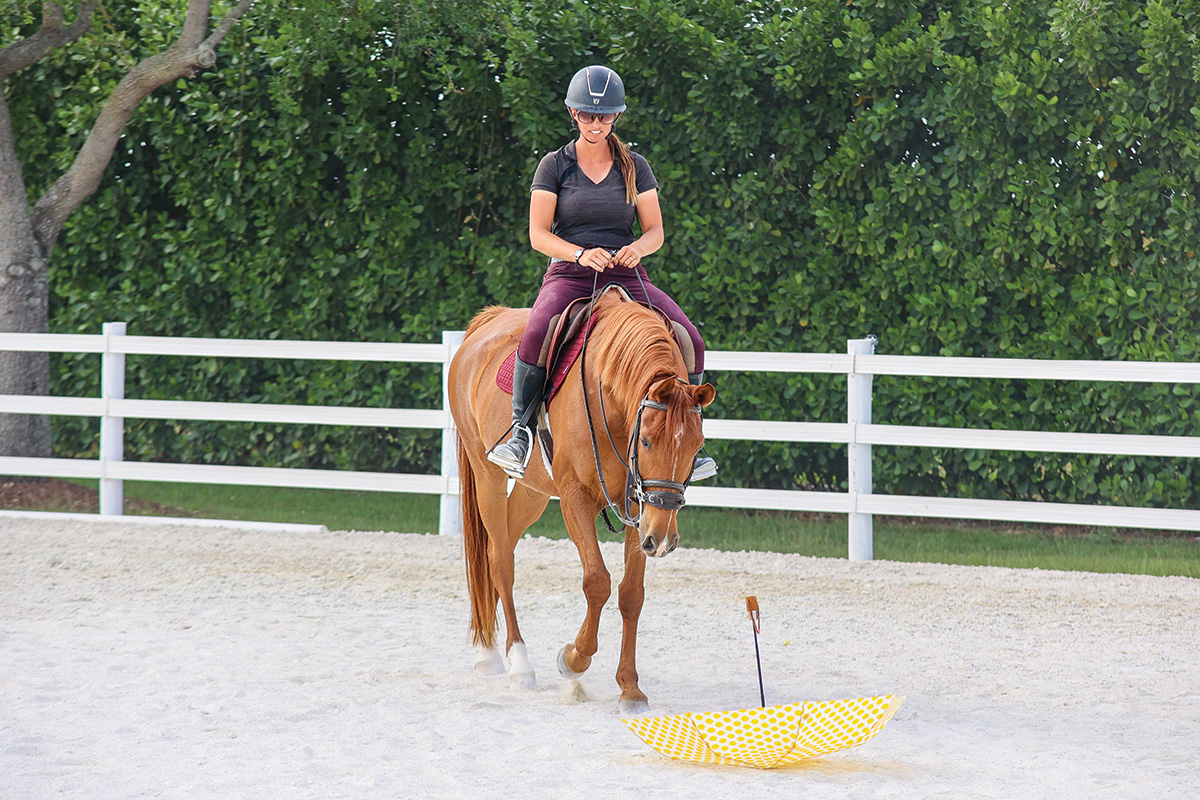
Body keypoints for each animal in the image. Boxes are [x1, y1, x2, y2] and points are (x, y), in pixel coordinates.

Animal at [448, 289, 710, 714]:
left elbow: (631, 593)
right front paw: (574, 660)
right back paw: (518, 665)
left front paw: (630, 689)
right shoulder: (575, 497)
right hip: (487, 475)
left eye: (696, 445)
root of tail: (490, 321)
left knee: (493, 553)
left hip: (534, 492)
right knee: (500, 561)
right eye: (647, 441)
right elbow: (597, 581)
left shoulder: (639, 508)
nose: (662, 541)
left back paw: (488, 653)